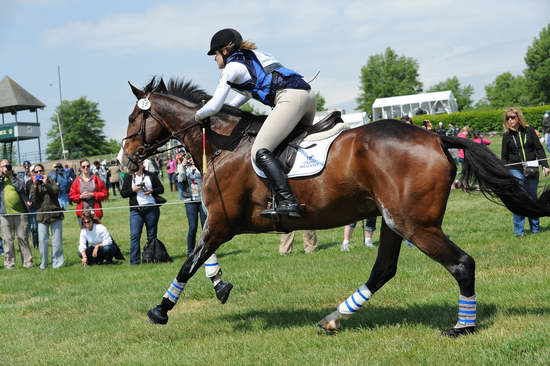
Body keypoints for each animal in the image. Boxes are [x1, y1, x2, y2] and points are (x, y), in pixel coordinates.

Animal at [117, 78, 550, 338]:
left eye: (134, 117)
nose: (124, 159)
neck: (224, 143)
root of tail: (436, 137)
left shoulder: (222, 221)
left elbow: (189, 260)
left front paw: (160, 310)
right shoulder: (220, 221)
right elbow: (200, 254)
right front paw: (220, 285)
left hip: (416, 225)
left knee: (461, 264)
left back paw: (462, 327)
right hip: (394, 221)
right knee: (383, 270)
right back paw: (333, 318)